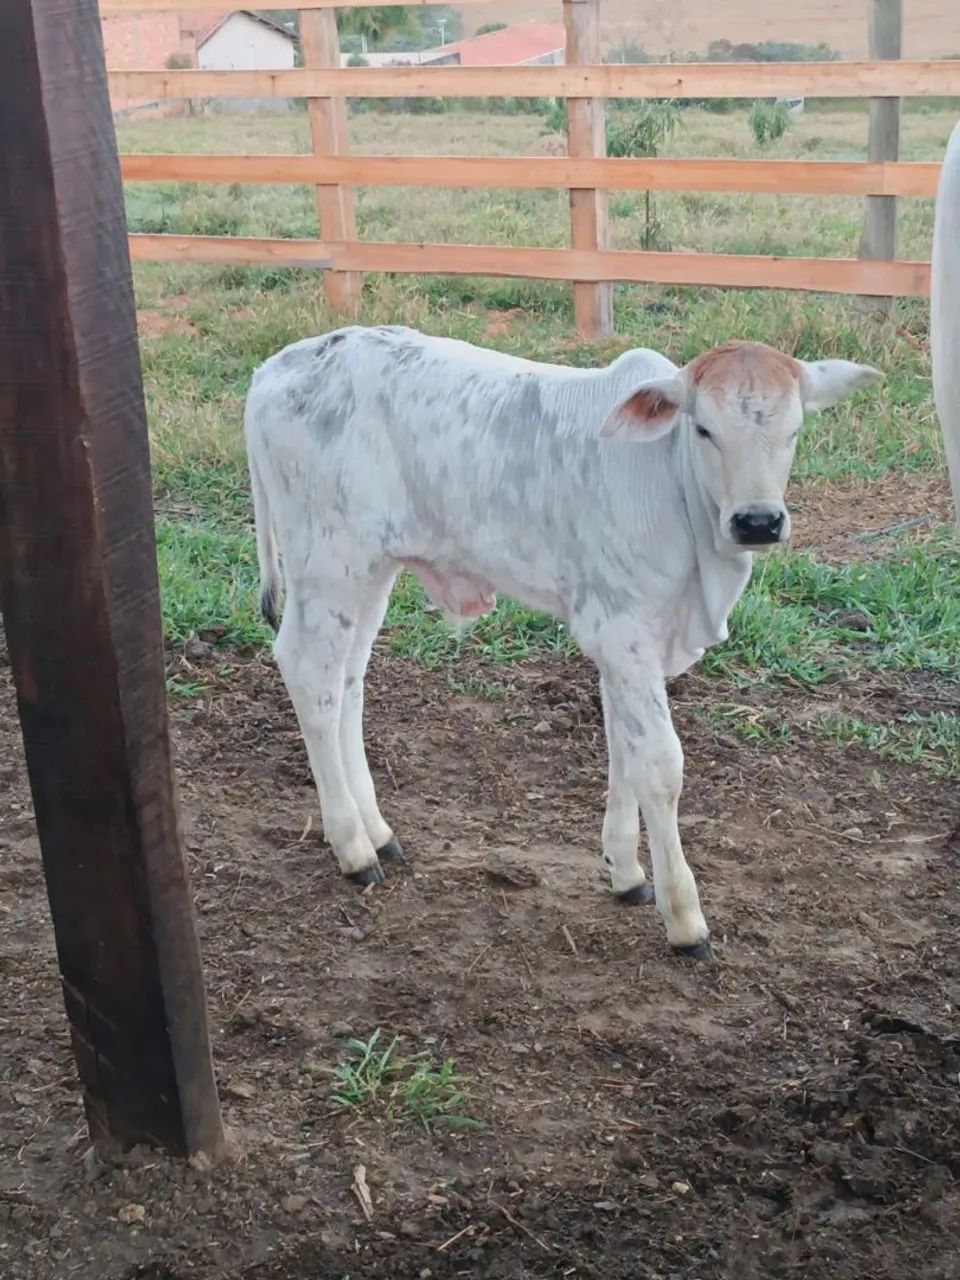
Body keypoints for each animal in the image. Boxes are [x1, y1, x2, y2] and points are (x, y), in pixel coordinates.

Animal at [245, 326, 878, 959]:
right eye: (703, 428)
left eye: (794, 429)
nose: (758, 522)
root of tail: (277, 368)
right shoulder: (622, 631)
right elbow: (659, 764)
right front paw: (684, 918)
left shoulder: (624, 645)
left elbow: (623, 746)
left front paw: (626, 872)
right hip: (329, 563)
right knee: (309, 672)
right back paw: (352, 847)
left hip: (372, 570)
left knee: (347, 682)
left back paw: (378, 832)